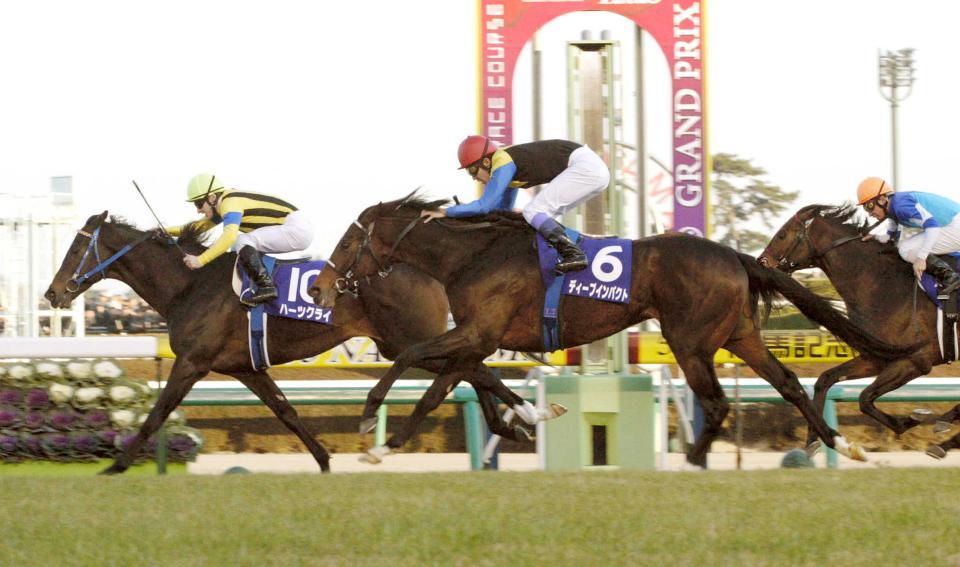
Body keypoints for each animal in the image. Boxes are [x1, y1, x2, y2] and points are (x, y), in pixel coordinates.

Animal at [44, 211, 536, 474]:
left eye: (74, 250)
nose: (52, 294)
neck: (188, 286)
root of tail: (423, 267)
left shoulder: (192, 363)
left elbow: (155, 415)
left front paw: (115, 466)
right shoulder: (244, 367)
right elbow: (286, 411)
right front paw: (324, 460)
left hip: (408, 338)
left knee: (469, 366)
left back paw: (522, 415)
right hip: (404, 342)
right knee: (470, 368)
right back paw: (514, 419)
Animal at [308, 194, 918, 467]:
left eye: (348, 241)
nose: (319, 288)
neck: (473, 254)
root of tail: (735, 256)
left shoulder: (479, 333)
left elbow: (417, 364)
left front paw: (377, 433)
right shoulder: (479, 338)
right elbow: (455, 379)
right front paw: (521, 420)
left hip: (690, 339)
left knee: (716, 402)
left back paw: (693, 462)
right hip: (738, 335)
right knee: (789, 384)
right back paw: (841, 444)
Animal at [759, 204, 960, 458]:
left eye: (782, 234)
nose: (761, 261)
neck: (881, 285)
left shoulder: (916, 360)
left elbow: (865, 398)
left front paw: (910, 420)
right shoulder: (877, 357)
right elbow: (825, 380)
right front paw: (813, 441)